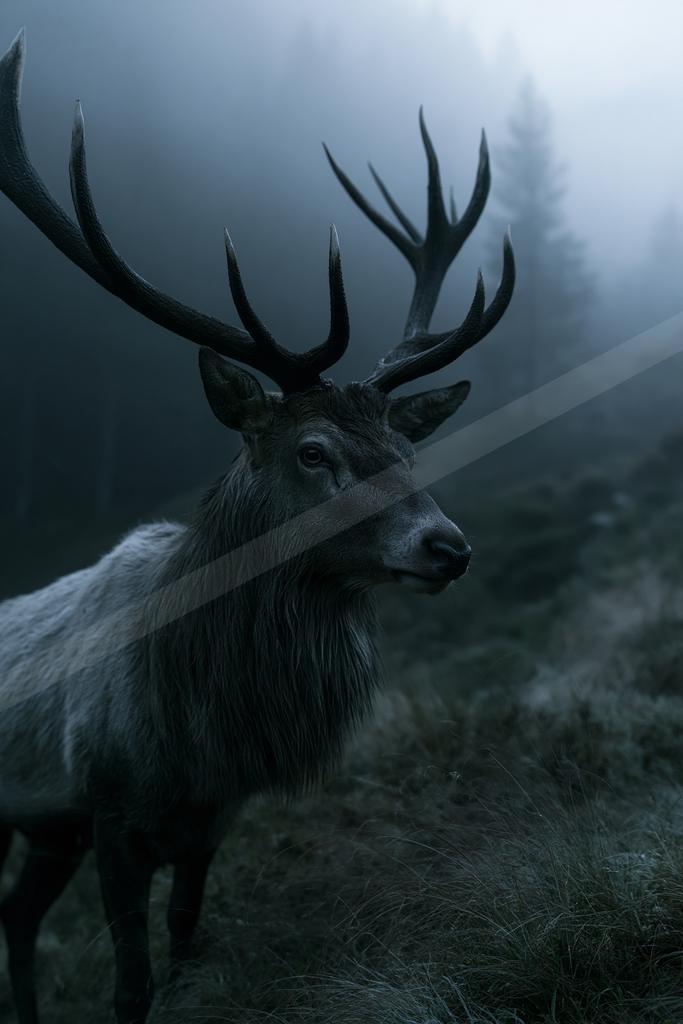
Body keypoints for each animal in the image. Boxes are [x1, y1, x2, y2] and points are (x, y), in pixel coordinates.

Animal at [0, 28, 514, 1024]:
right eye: (312, 451)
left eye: (406, 446)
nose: (448, 547)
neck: (198, 718)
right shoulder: (106, 805)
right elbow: (130, 981)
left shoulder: (206, 818)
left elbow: (186, 943)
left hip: (41, 829)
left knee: (12, 915)